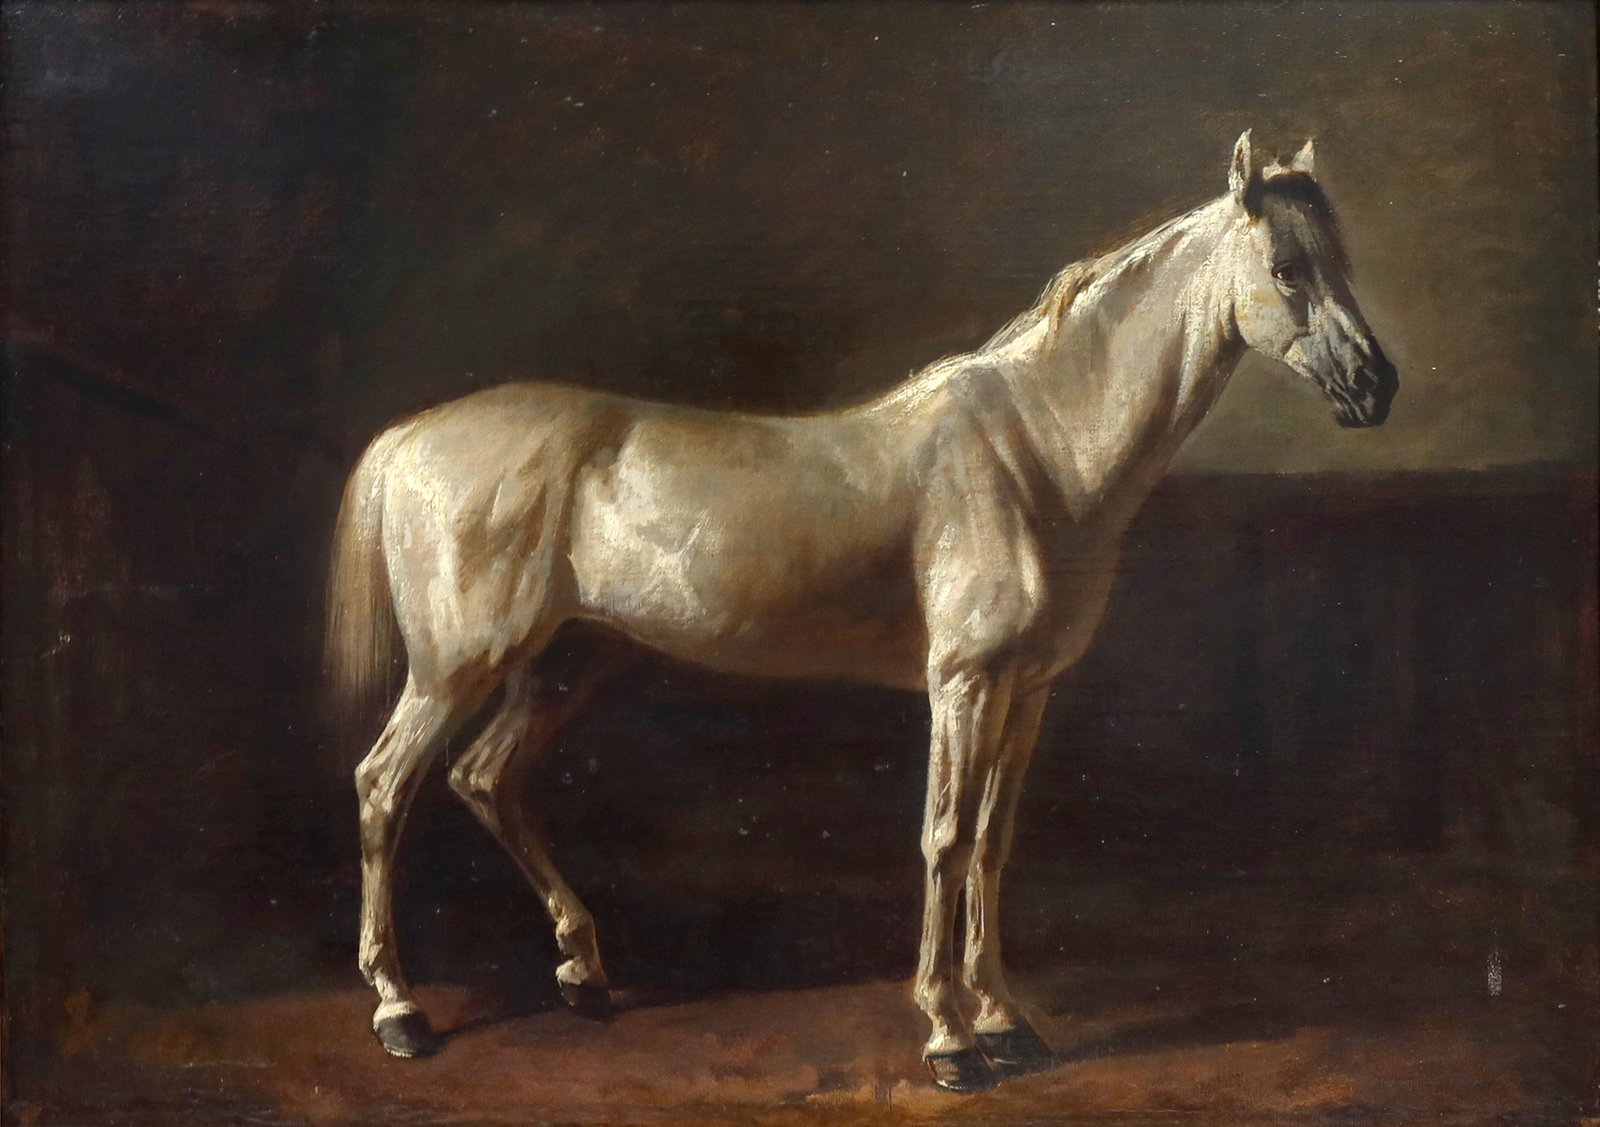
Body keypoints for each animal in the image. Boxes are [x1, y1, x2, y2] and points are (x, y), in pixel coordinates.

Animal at [326, 131, 1398, 1092]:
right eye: (1286, 268)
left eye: (1344, 262)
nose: (1376, 386)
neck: (1037, 452)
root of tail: (411, 434)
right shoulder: (962, 682)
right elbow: (945, 838)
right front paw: (949, 1038)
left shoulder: (1030, 689)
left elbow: (995, 842)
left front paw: (1007, 1021)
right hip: (455, 668)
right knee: (383, 786)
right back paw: (400, 1010)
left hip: (564, 665)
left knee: (483, 778)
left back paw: (583, 969)